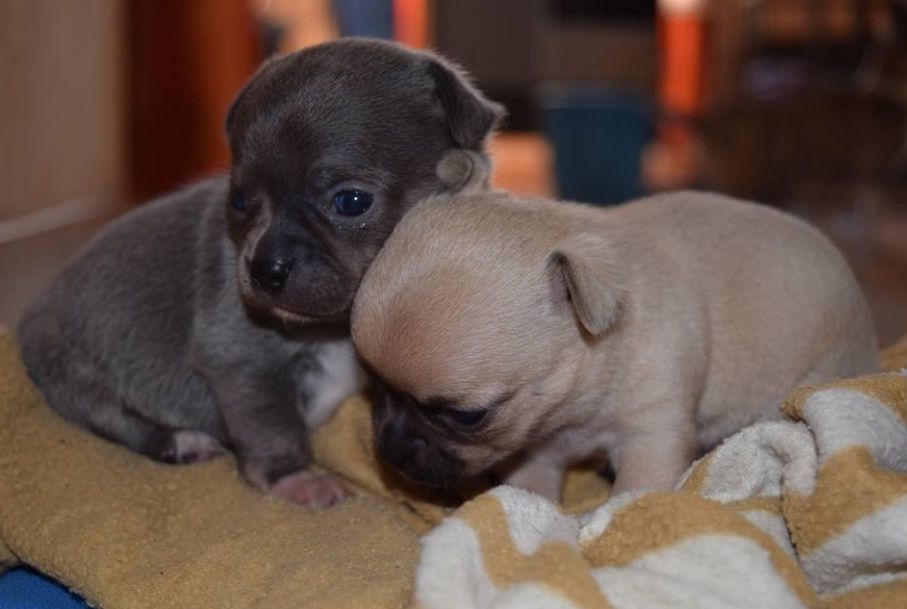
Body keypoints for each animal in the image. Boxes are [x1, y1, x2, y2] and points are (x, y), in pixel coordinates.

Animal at [17, 35, 504, 506]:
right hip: (76, 379)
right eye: (239, 202)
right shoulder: (245, 364)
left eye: (351, 202)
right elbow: (273, 427)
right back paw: (180, 441)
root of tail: (30, 318)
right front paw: (295, 480)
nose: (263, 269)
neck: (332, 329)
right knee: (116, 421)